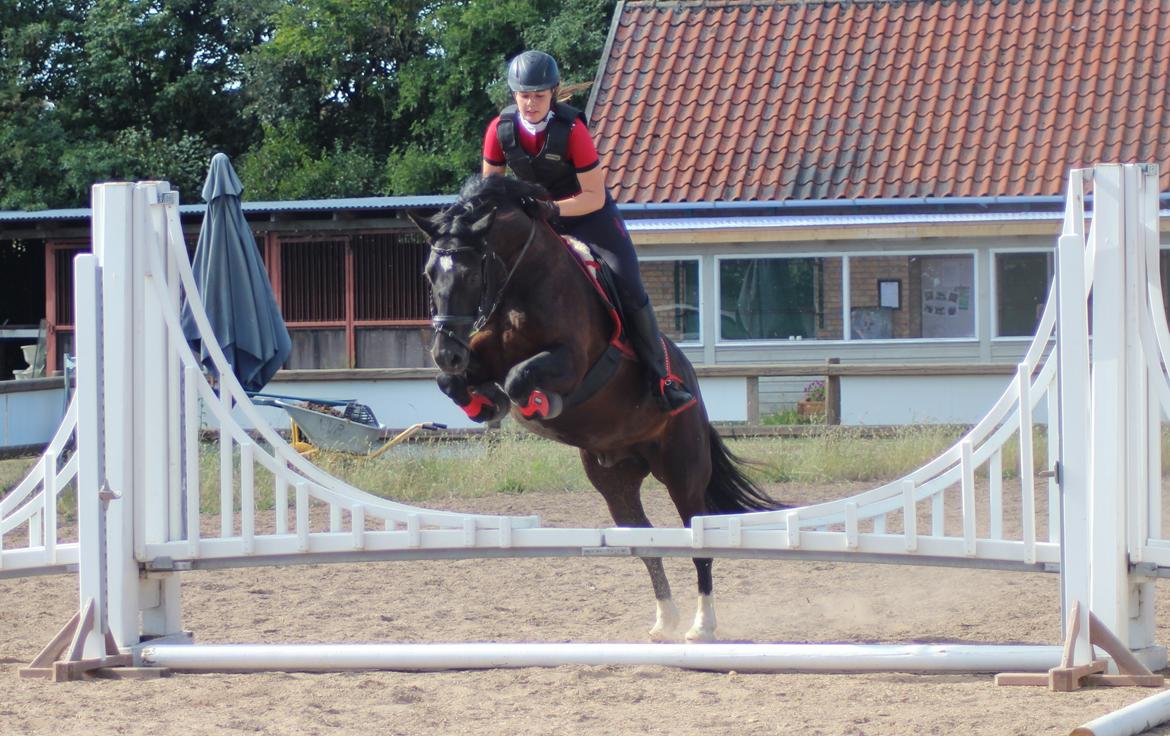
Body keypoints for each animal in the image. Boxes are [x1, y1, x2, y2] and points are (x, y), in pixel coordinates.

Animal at [411, 175, 786, 641]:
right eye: (429, 275)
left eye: (469, 273)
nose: (446, 353)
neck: (520, 282)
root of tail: (692, 386)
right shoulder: (479, 354)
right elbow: (455, 384)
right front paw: (483, 403)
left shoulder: (571, 361)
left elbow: (520, 378)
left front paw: (533, 404)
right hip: (615, 482)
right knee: (645, 543)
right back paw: (665, 620)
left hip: (683, 472)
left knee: (697, 539)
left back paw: (702, 625)